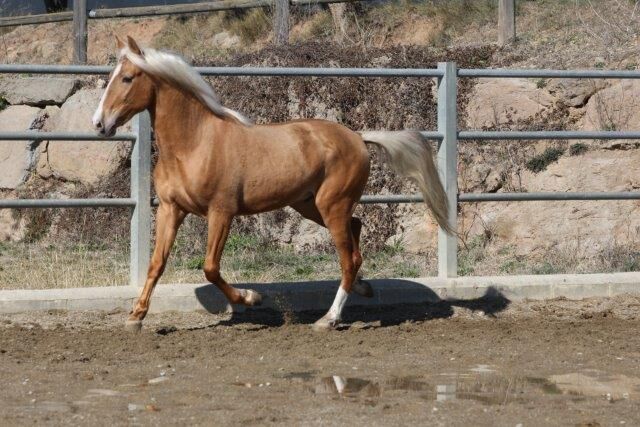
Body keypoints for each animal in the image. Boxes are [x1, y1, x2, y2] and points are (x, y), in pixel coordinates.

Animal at [94, 36, 450, 332]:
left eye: (127, 78)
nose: (99, 124)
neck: (195, 144)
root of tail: (358, 137)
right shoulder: (171, 209)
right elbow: (156, 264)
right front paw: (135, 317)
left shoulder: (221, 212)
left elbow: (210, 268)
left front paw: (251, 298)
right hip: (310, 205)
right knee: (356, 233)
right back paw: (363, 288)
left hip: (330, 206)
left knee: (347, 258)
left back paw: (329, 319)